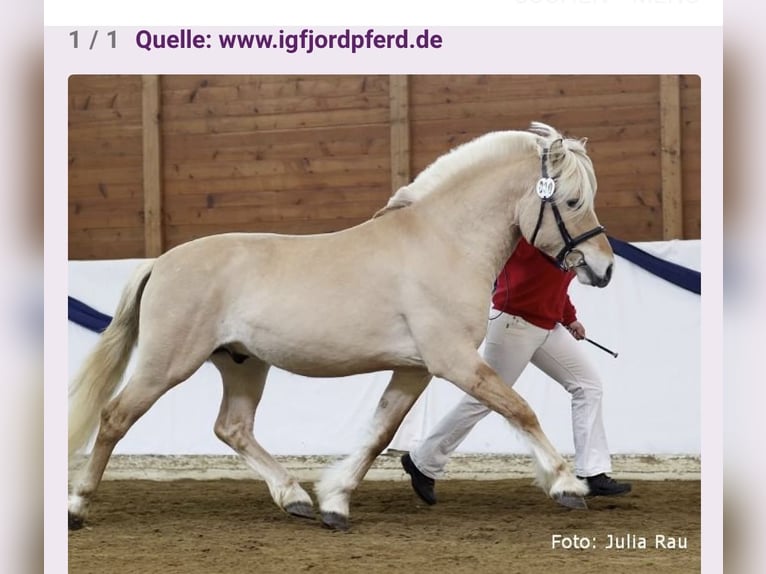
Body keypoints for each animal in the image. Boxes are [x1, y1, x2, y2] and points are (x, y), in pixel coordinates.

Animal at [68, 122, 614, 531]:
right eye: (570, 201)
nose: (603, 268)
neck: (443, 242)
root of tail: (161, 262)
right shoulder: (453, 360)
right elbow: (519, 409)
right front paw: (568, 484)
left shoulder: (415, 368)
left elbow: (380, 433)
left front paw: (334, 502)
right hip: (167, 364)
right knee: (115, 417)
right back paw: (77, 506)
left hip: (244, 364)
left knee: (232, 427)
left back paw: (295, 498)